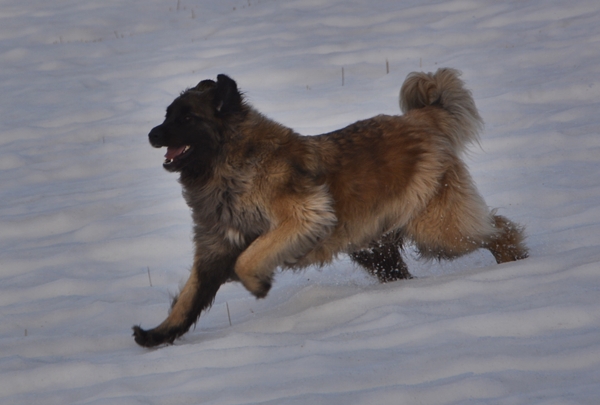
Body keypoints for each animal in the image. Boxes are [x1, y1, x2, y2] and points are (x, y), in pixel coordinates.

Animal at [134, 68, 528, 346]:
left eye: (186, 118)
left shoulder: (303, 216)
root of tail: (419, 119)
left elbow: (248, 258)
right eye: (167, 114)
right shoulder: (215, 248)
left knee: (499, 229)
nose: (151, 134)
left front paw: (258, 283)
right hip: (375, 248)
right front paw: (157, 334)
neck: (232, 161)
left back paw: (516, 262)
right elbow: (189, 298)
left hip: (438, 232)